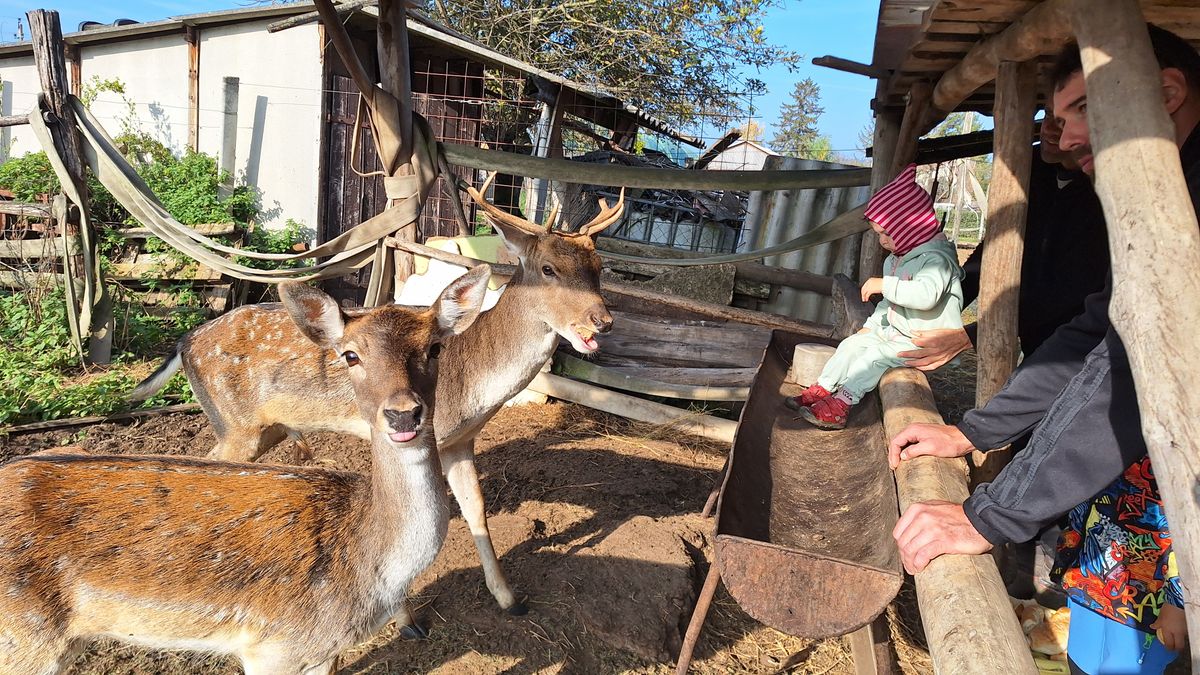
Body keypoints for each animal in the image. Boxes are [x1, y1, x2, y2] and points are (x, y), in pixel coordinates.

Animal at [1, 267, 487, 672]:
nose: (404, 414)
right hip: (25, 643)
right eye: (350, 355)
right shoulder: (272, 647)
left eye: (435, 348)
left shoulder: (320, 652)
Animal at [130, 177, 624, 629]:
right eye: (548, 268)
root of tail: (184, 342)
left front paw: (508, 598)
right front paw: (405, 618)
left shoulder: (460, 440)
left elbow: (477, 510)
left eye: (599, 267)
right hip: (236, 424)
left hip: (261, 426)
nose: (602, 320)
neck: (475, 383)